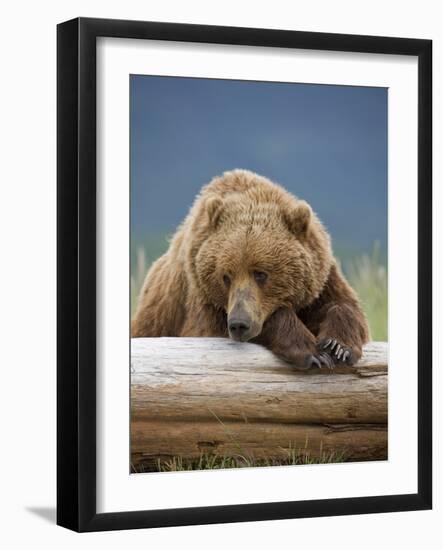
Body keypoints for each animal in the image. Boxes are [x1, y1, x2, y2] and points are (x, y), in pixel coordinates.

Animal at [132, 170, 372, 370]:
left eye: (261, 274)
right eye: (225, 276)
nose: (239, 324)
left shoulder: (320, 281)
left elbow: (345, 306)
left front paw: (338, 346)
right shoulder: (203, 298)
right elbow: (212, 331)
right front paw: (312, 352)